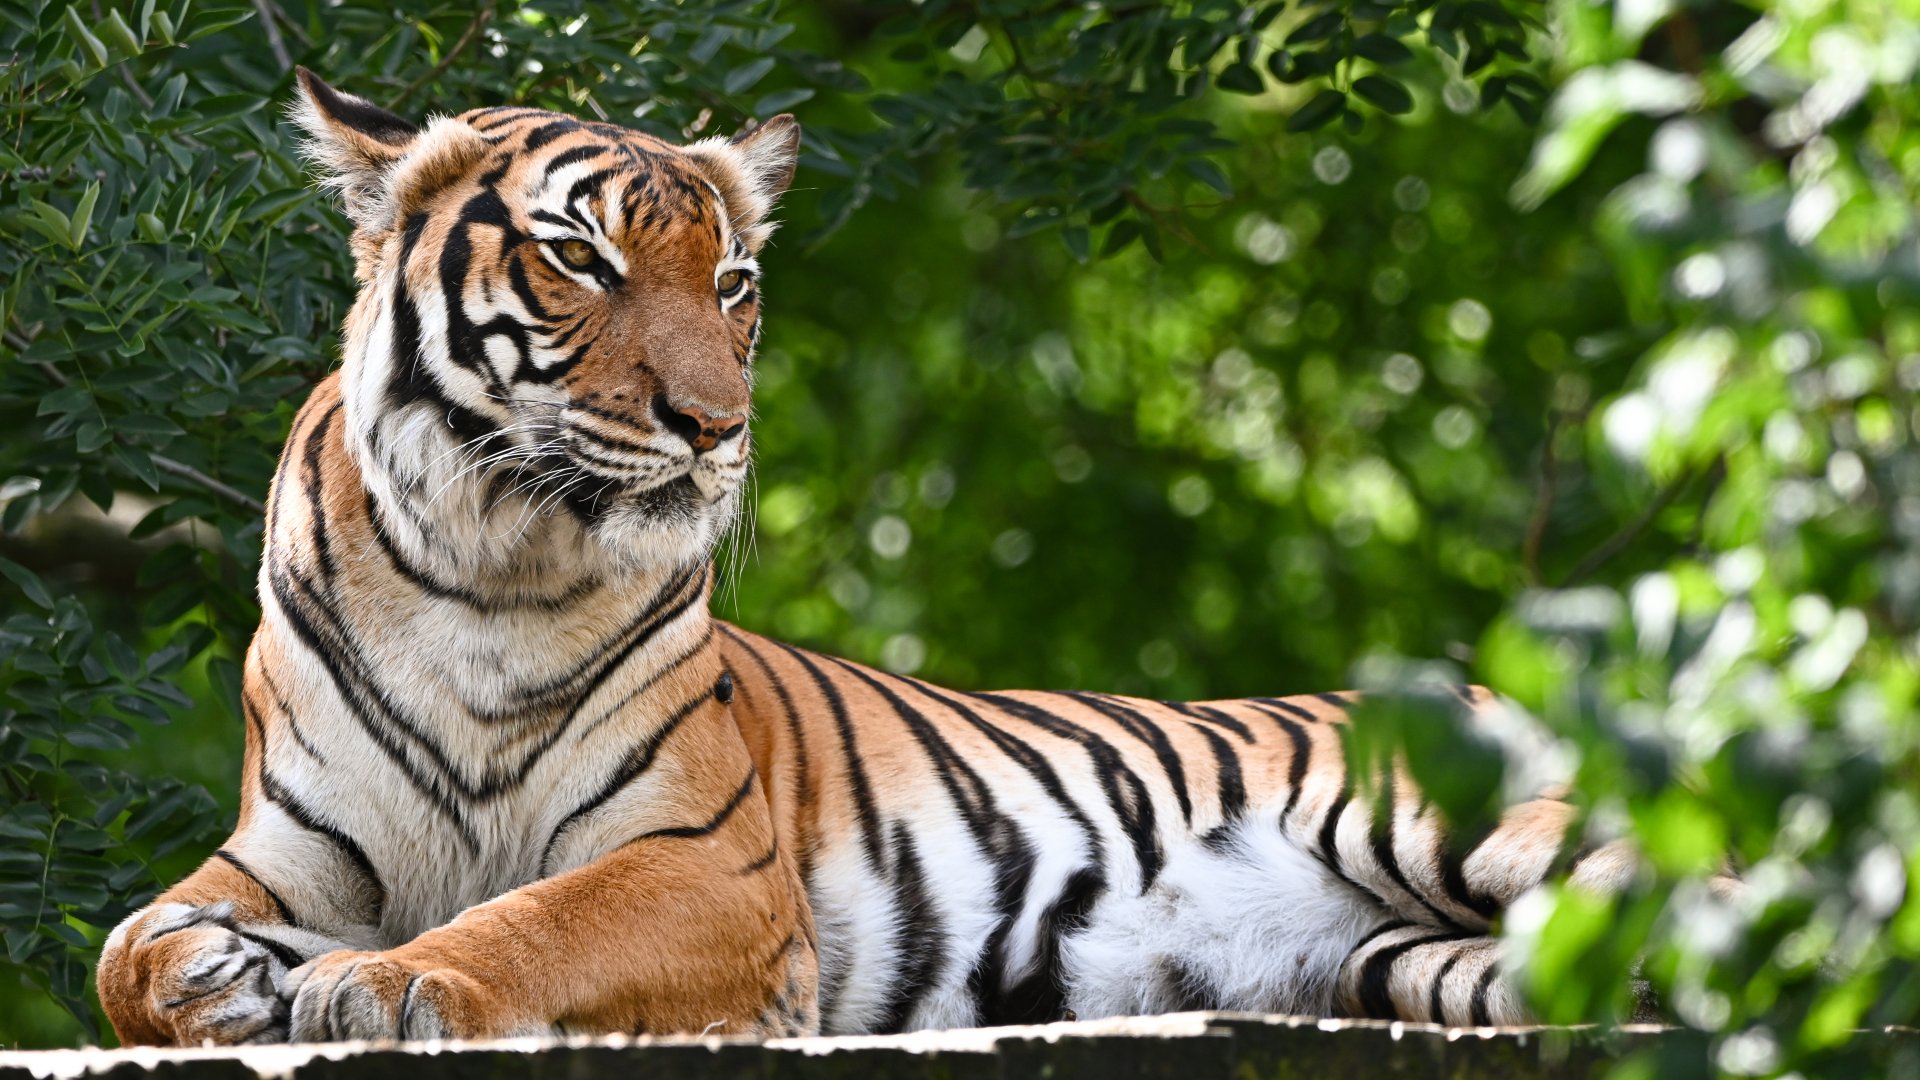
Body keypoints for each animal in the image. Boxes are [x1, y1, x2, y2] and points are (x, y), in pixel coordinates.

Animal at [94, 69, 1637, 1047]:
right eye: (580, 261)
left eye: (732, 285)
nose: (716, 425)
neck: (485, 567)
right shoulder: (293, 848)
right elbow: (129, 944)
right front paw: (221, 978)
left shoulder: (706, 863)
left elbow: (538, 919)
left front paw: (387, 986)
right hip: (1417, 958)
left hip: (1460, 817)